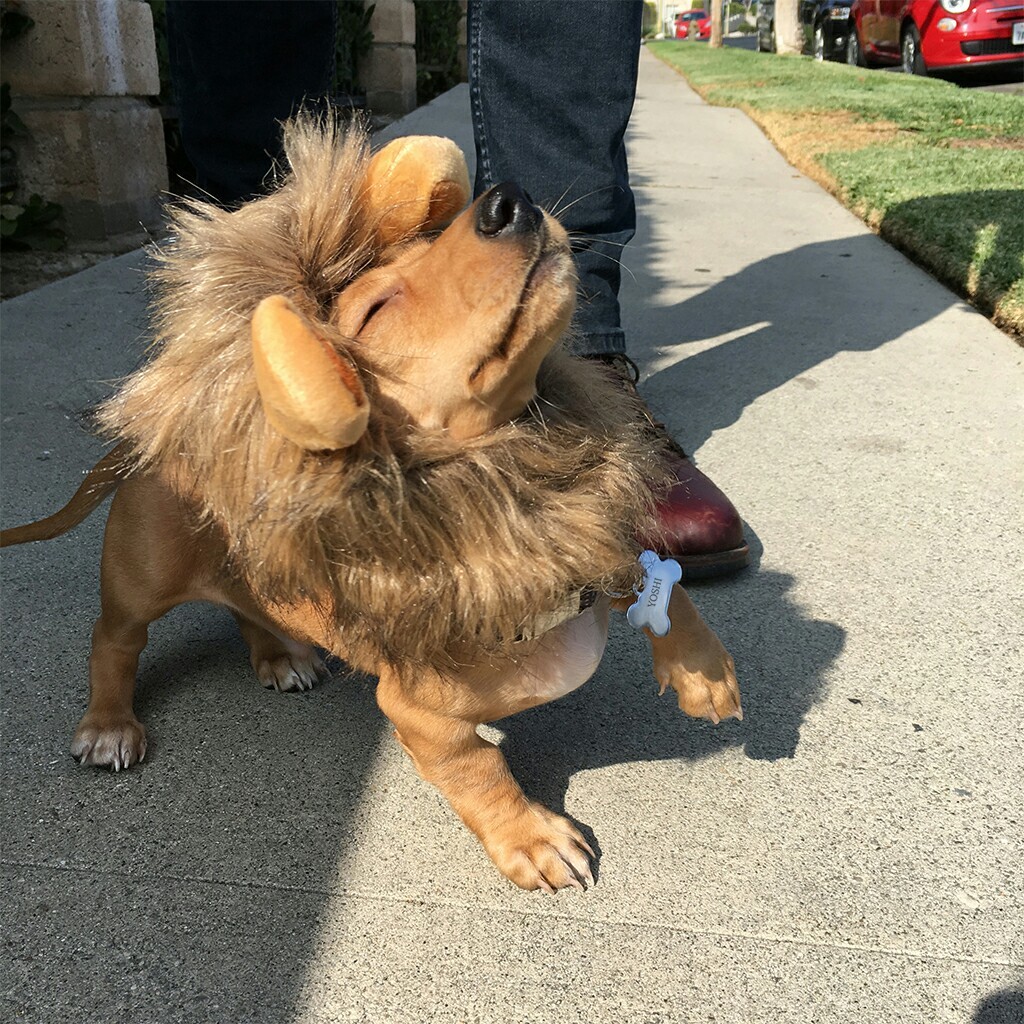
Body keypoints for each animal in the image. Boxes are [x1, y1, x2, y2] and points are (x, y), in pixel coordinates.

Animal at [0, 117, 741, 888]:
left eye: (432, 239)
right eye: (379, 307)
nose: (509, 202)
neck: (516, 501)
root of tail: (168, 428)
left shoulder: (590, 535)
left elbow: (649, 571)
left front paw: (705, 672)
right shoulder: (421, 716)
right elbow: (481, 769)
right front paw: (532, 838)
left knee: (248, 603)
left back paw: (279, 656)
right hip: (141, 578)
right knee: (114, 639)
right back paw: (108, 726)